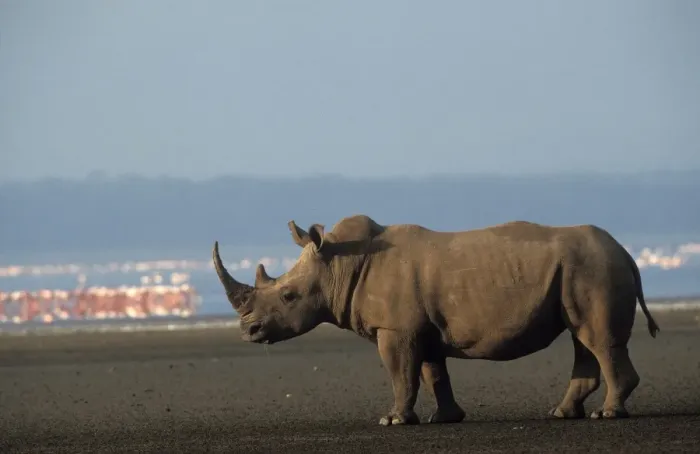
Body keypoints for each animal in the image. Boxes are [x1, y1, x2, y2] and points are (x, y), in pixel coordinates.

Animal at [213, 214, 660, 426]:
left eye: (288, 296)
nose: (248, 331)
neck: (339, 263)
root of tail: (627, 253)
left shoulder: (394, 329)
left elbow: (401, 374)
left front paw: (393, 420)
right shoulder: (419, 329)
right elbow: (432, 373)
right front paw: (444, 418)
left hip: (595, 268)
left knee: (597, 340)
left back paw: (608, 414)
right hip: (582, 269)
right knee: (581, 337)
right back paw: (562, 413)